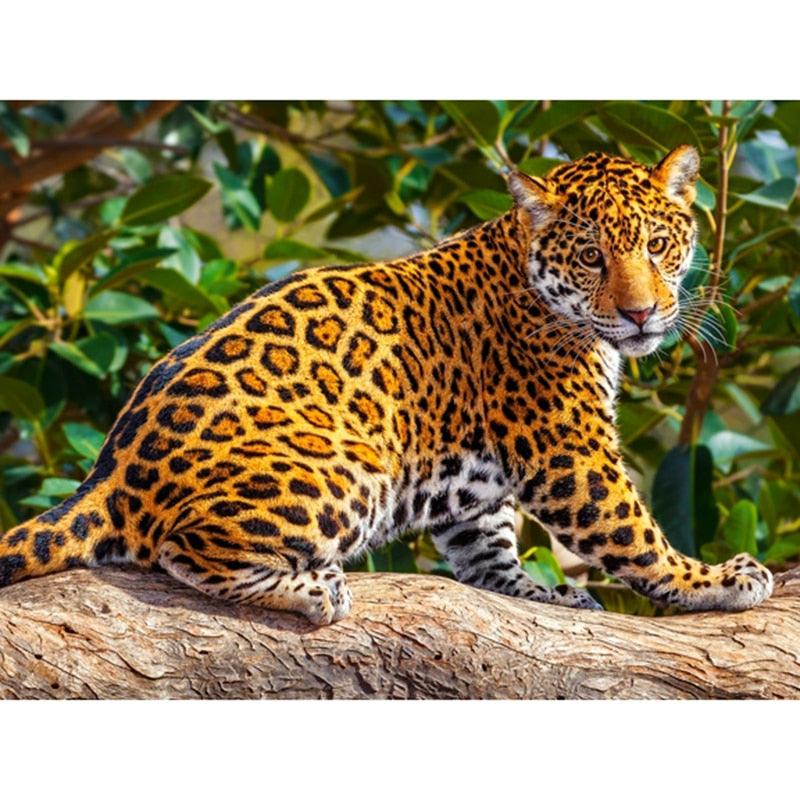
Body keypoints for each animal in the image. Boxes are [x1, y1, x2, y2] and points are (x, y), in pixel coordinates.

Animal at [0, 144, 773, 625]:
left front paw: (543, 595)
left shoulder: (479, 489)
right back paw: (313, 592)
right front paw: (714, 580)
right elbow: (635, 536)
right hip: (349, 464)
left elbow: (486, 553)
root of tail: (106, 475)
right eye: (591, 256)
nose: (642, 313)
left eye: (657, 246)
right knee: (183, 548)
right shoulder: (571, 452)